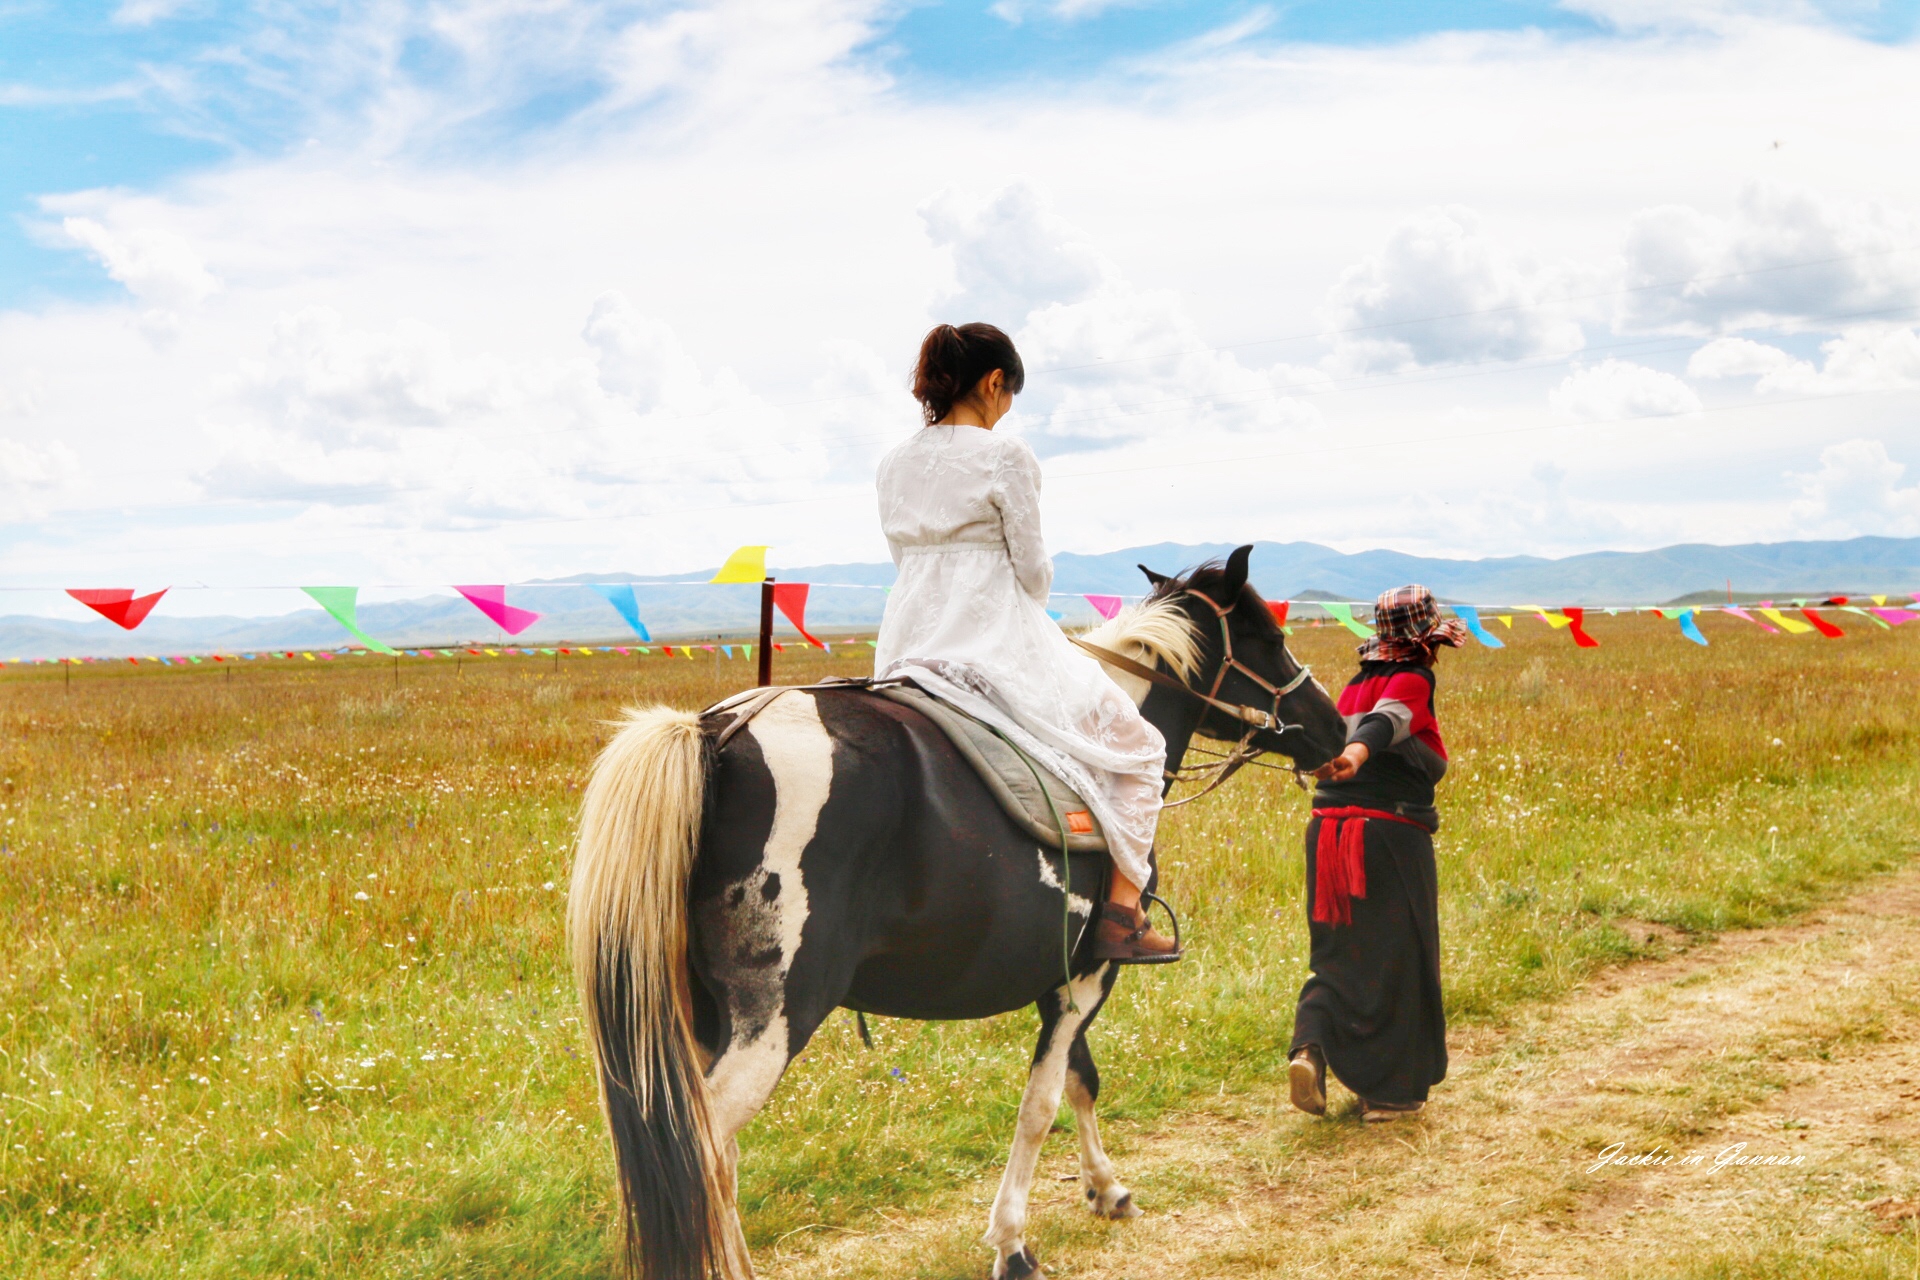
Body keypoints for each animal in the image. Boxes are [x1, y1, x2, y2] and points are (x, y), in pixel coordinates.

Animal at [568, 545, 1351, 1274]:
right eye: (1267, 637)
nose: (1335, 729)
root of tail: (716, 736)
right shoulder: (1089, 974)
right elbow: (1040, 1106)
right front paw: (1011, 1242)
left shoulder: (1058, 976)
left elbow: (1080, 1080)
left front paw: (1105, 1189)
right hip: (772, 1023)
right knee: (705, 1152)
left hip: (698, 1021)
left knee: (699, 1161)